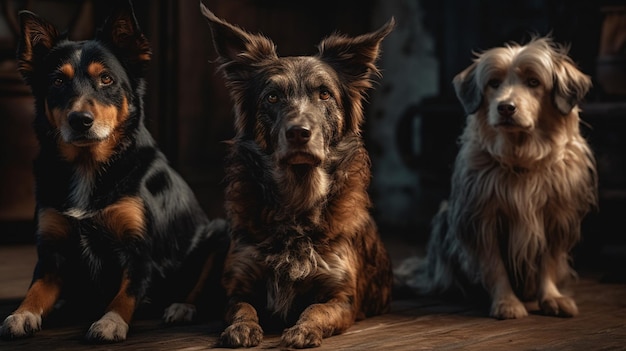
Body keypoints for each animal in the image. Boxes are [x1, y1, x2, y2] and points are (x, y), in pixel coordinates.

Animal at [0, 0, 228, 342]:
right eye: (57, 81)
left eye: (106, 79)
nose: (80, 120)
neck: (88, 166)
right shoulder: (52, 253)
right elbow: (36, 290)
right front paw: (21, 314)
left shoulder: (139, 252)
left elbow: (126, 293)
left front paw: (110, 322)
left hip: (219, 231)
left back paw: (181, 307)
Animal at [200, 4, 392, 350]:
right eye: (272, 97)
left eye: (325, 94)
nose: (299, 133)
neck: (297, 199)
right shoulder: (237, 284)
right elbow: (242, 307)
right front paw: (242, 328)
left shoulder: (342, 296)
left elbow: (316, 310)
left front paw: (303, 330)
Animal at [394, 37, 596, 320]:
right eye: (493, 83)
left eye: (534, 82)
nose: (505, 108)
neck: (521, 159)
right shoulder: (480, 219)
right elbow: (494, 266)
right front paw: (506, 302)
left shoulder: (556, 217)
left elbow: (548, 262)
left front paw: (551, 297)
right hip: (446, 218)